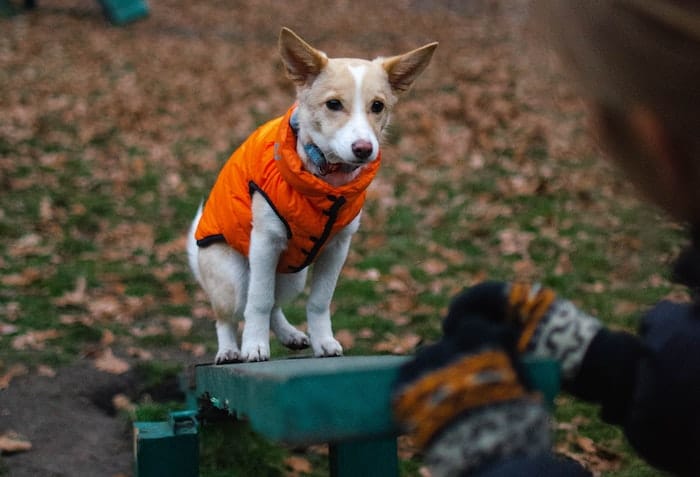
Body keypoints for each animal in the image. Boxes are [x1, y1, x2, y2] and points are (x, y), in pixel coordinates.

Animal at [186, 27, 438, 362]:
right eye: (333, 104)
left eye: (378, 106)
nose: (364, 149)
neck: (327, 182)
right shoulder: (265, 243)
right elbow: (258, 302)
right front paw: (254, 346)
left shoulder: (337, 248)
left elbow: (318, 301)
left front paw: (323, 342)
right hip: (235, 278)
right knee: (229, 314)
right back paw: (229, 350)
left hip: (293, 276)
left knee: (276, 304)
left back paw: (290, 335)